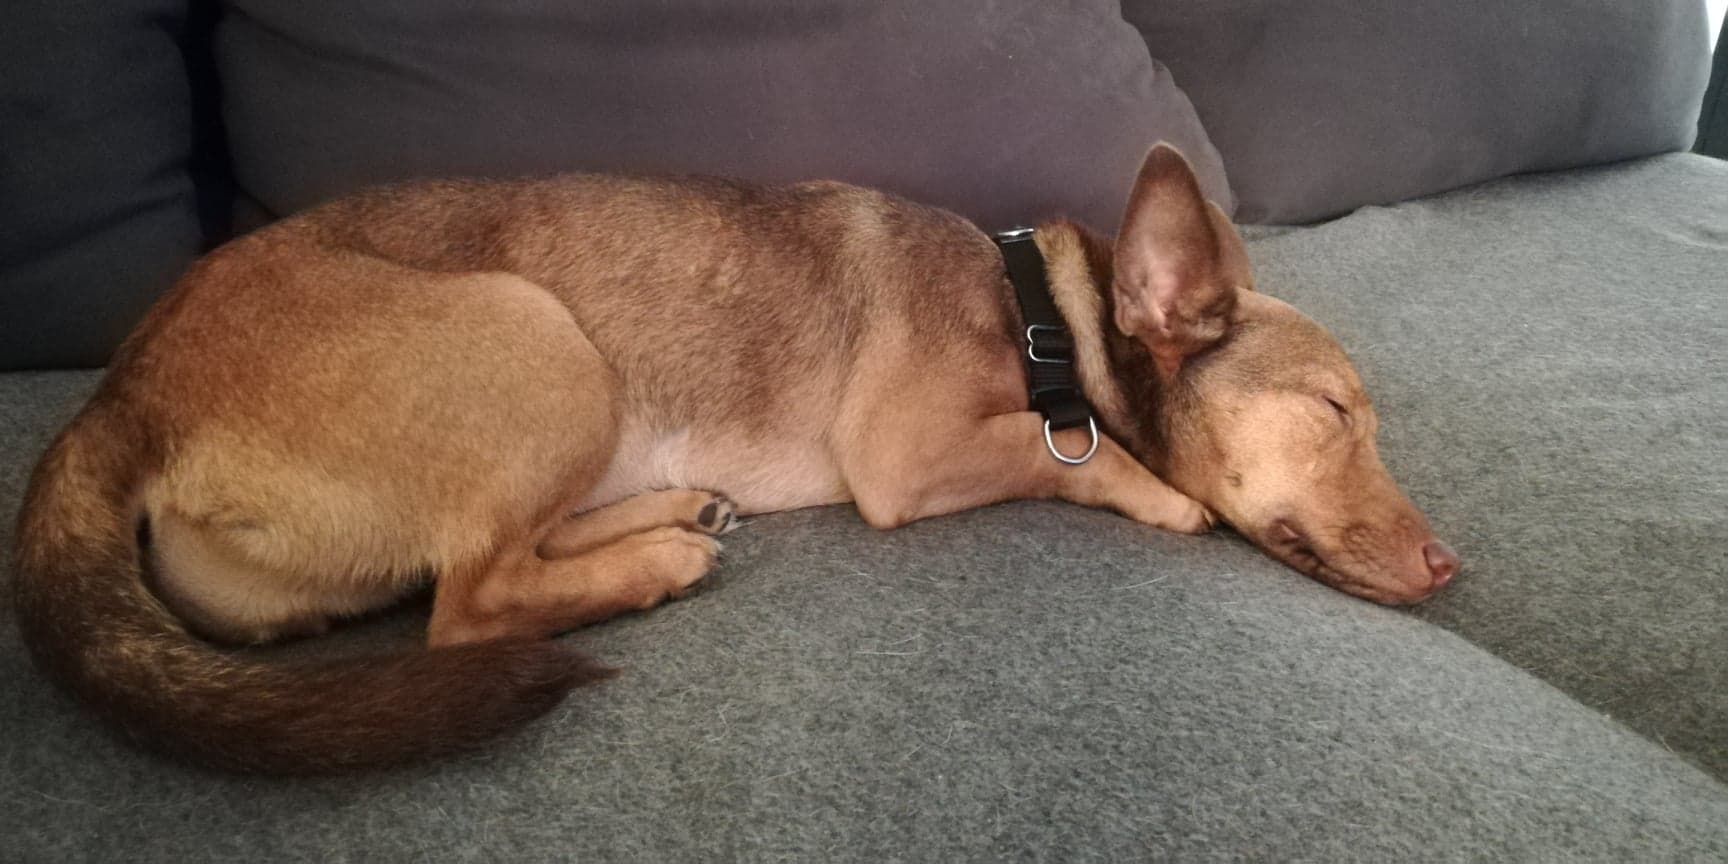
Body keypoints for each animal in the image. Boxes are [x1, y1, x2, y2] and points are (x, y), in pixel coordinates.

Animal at [13, 144, 1458, 774]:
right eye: (1337, 411)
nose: (1453, 569)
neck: (1038, 314)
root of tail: (120, 392)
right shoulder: (908, 455)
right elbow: (1073, 448)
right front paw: (1156, 495)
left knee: (496, 559)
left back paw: (670, 512)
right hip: (534, 336)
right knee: (469, 603)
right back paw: (654, 563)